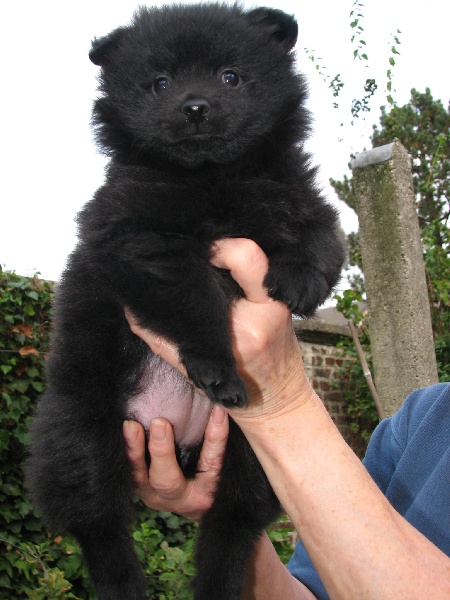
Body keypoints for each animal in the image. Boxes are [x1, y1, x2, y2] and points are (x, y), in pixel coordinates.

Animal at [27, 4, 344, 600]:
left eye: (230, 76)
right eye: (160, 83)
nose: (194, 107)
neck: (211, 177)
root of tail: (181, 440)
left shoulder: (288, 187)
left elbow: (320, 228)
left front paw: (302, 280)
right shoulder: (141, 238)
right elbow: (196, 299)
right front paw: (216, 364)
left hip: (252, 460)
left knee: (230, 529)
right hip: (79, 433)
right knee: (100, 526)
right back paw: (125, 585)